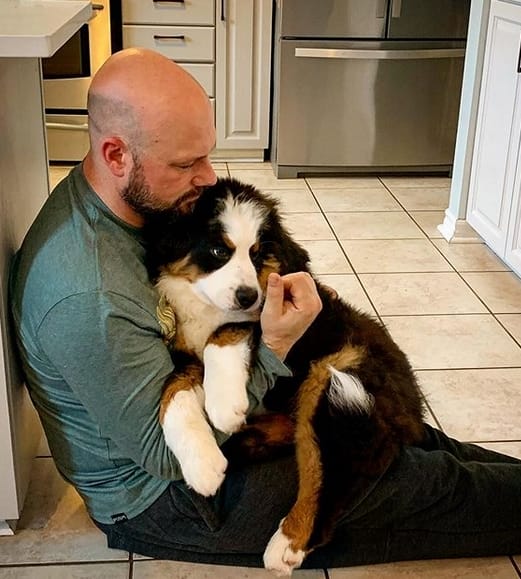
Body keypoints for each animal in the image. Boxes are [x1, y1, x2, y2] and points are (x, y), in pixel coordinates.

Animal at [144, 177, 425, 575]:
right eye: (218, 250)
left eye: (258, 254)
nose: (247, 295)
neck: (203, 307)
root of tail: (414, 410)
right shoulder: (181, 352)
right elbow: (174, 393)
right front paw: (202, 464)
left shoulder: (264, 313)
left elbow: (225, 333)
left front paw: (223, 406)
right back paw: (247, 440)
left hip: (334, 377)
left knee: (335, 472)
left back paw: (288, 543)